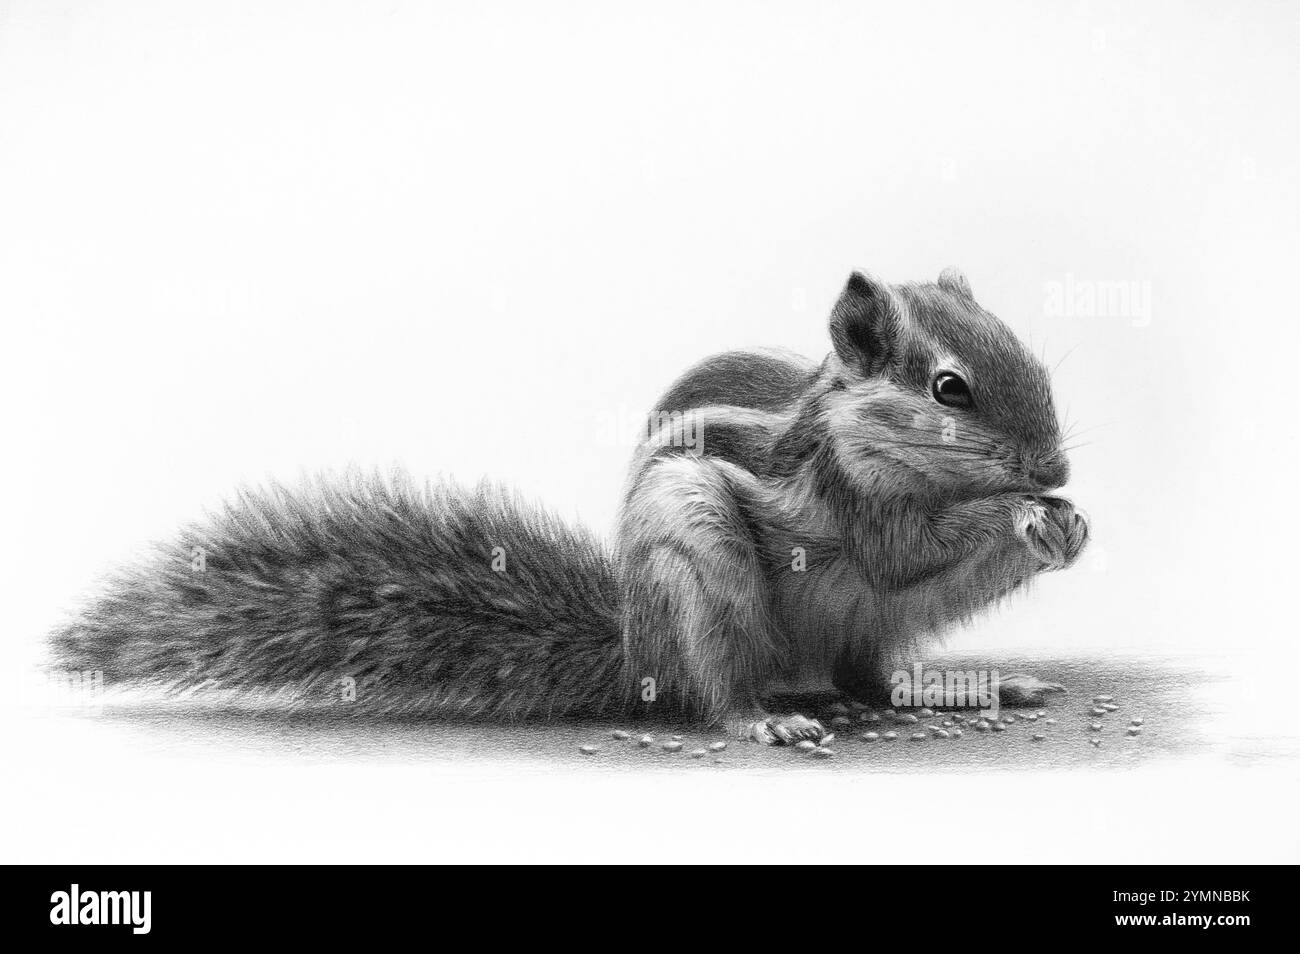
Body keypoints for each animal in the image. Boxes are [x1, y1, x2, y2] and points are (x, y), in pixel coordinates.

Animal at [51, 268, 1088, 744]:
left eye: (1034, 363)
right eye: (950, 389)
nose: (1055, 465)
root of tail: (638, 648)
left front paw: (1066, 522)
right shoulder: (851, 499)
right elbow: (903, 550)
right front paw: (1020, 514)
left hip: (863, 629)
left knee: (871, 680)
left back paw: (973, 686)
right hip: (698, 573)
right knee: (726, 692)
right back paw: (767, 720)